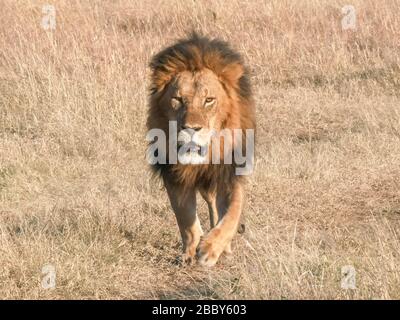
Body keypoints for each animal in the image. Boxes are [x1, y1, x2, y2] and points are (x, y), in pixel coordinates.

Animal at [147, 33, 256, 268]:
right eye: (178, 99)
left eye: (209, 100)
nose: (191, 128)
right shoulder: (174, 175)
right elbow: (185, 217)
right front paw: (190, 251)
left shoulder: (230, 172)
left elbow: (232, 213)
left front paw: (210, 248)